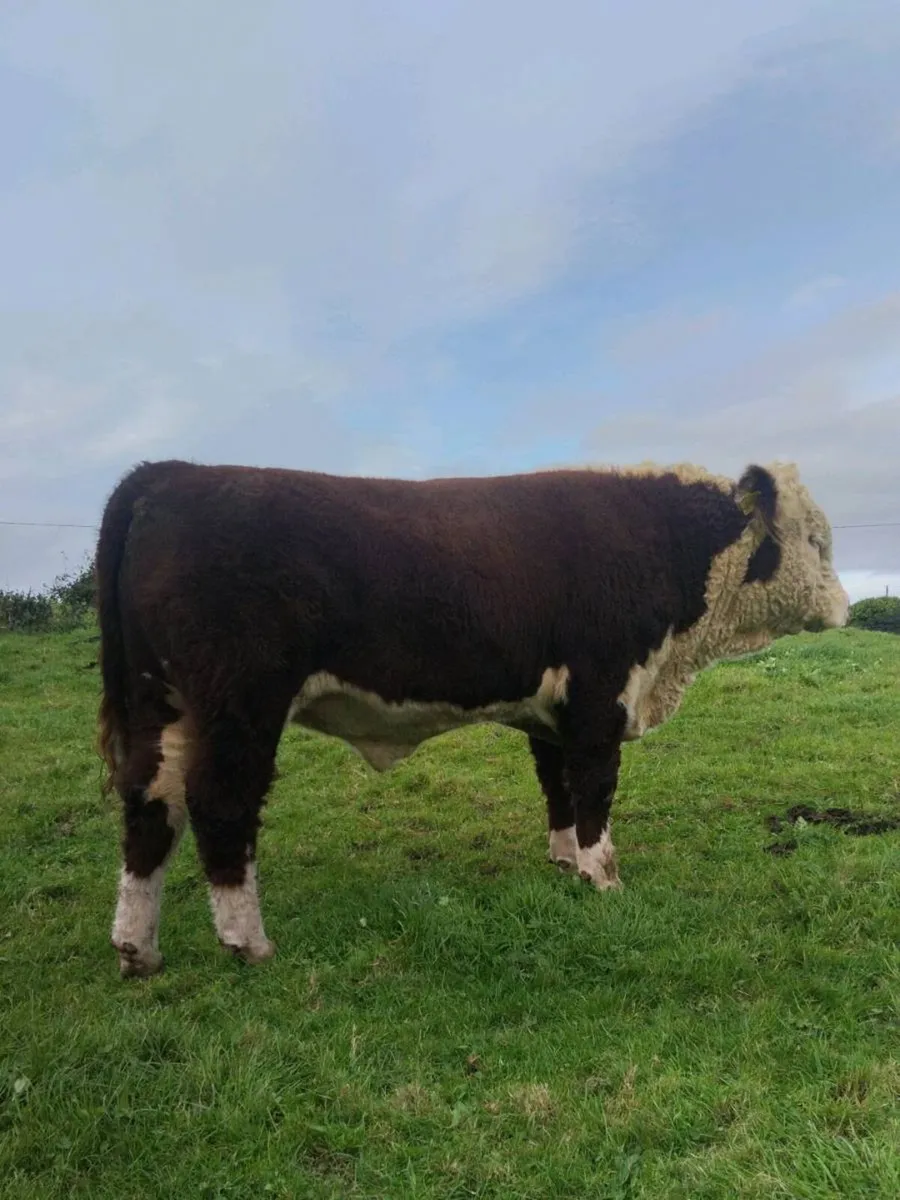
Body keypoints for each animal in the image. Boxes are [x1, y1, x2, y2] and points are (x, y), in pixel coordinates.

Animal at [95, 457, 849, 977]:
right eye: (817, 541)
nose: (844, 607)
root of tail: (172, 474)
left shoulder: (554, 710)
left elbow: (559, 788)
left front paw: (564, 862)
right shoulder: (601, 692)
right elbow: (595, 787)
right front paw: (602, 877)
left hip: (160, 702)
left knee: (149, 803)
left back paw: (137, 949)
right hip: (240, 700)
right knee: (219, 804)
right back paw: (247, 942)